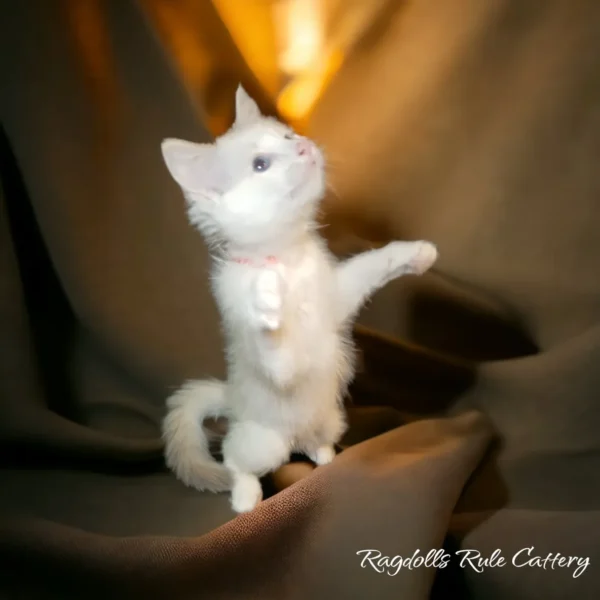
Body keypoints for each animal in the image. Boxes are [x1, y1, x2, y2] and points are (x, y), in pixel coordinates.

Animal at [161, 85, 440, 510]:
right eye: (260, 164)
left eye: (289, 136)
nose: (304, 146)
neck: (288, 258)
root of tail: (233, 400)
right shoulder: (274, 362)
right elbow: (272, 350)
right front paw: (266, 304)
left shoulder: (337, 296)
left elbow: (373, 263)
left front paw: (416, 253)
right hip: (263, 442)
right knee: (235, 457)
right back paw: (245, 498)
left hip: (332, 417)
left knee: (311, 440)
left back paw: (324, 455)